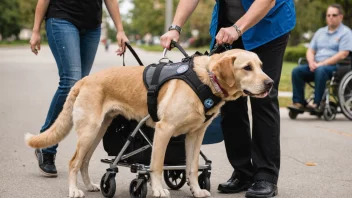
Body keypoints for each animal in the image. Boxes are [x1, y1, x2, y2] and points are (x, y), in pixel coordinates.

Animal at [25, 48, 272, 197]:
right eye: (247, 68)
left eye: (261, 65)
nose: (270, 83)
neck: (206, 79)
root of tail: (85, 79)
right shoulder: (164, 130)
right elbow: (157, 165)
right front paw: (158, 189)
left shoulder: (195, 135)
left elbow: (192, 168)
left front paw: (196, 190)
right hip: (89, 131)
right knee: (74, 162)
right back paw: (75, 190)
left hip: (97, 132)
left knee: (84, 162)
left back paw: (90, 185)